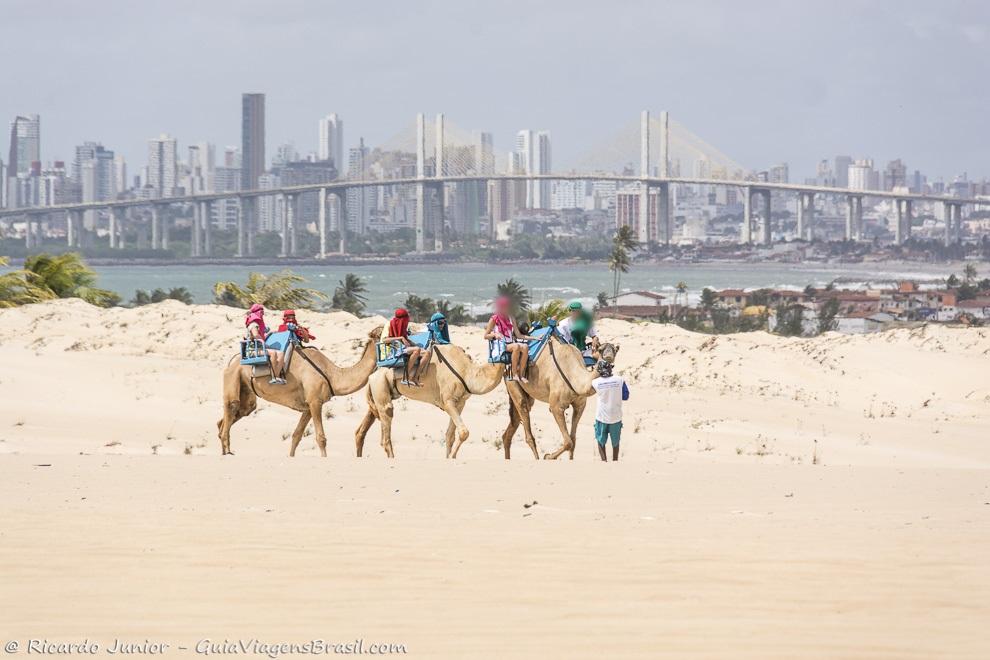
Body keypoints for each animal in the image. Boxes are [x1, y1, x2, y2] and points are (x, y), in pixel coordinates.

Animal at [217, 326, 384, 458]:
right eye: (382, 333)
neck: (332, 374)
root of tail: (232, 361)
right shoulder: (315, 401)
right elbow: (321, 438)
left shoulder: (308, 406)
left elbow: (296, 435)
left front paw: (291, 457)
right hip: (233, 376)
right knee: (231, 407)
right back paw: (227, 453)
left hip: (246, 391)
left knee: (232, 416)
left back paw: (225, 451)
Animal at [354, 346, 504, 458]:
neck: (468, 372)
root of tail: (373, 374)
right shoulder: (448, 400)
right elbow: (463, 432)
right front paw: (452, 457)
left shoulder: (461, 403)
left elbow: (450, 435)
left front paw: (450, 458)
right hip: (380, 385)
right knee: (387, 418)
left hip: (378, 391)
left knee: (365, 426)